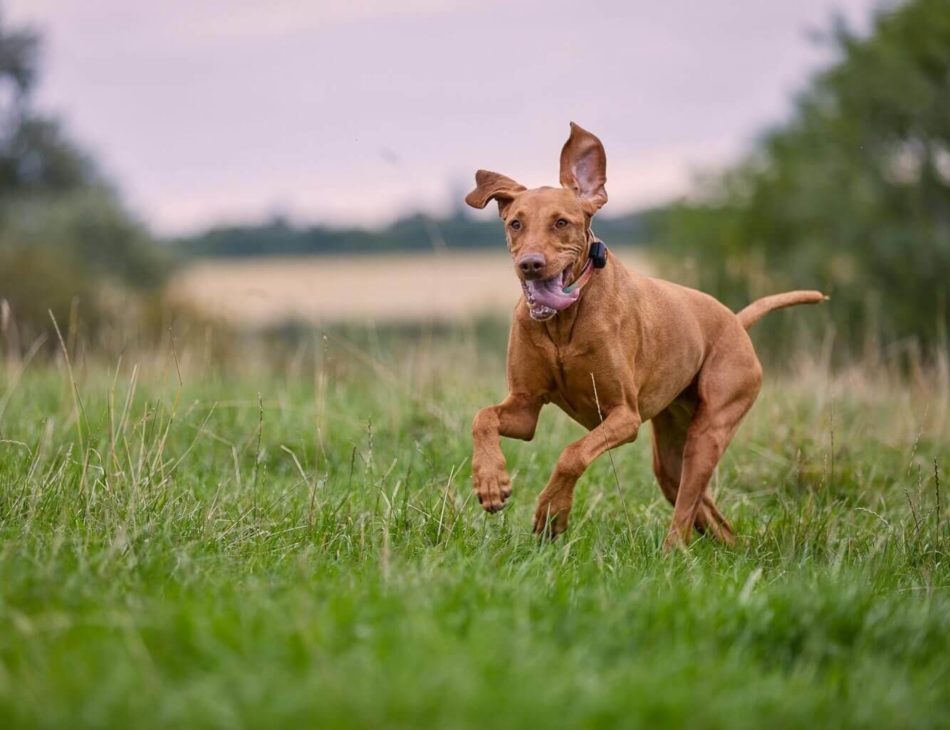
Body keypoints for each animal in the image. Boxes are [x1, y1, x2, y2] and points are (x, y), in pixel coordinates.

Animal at [464, 122, 820, 548]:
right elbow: (482, 417)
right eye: (515, 223)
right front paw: (490, 481)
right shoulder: (525, 408)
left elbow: (572, 454)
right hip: (669, 454)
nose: (530, 264)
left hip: (709, 432)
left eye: (561, 222)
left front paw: (552, 511)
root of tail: (735, 321)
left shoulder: (624, 417)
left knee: (685, 510)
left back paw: (671, 553)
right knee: (707, 512)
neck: (563, 324)